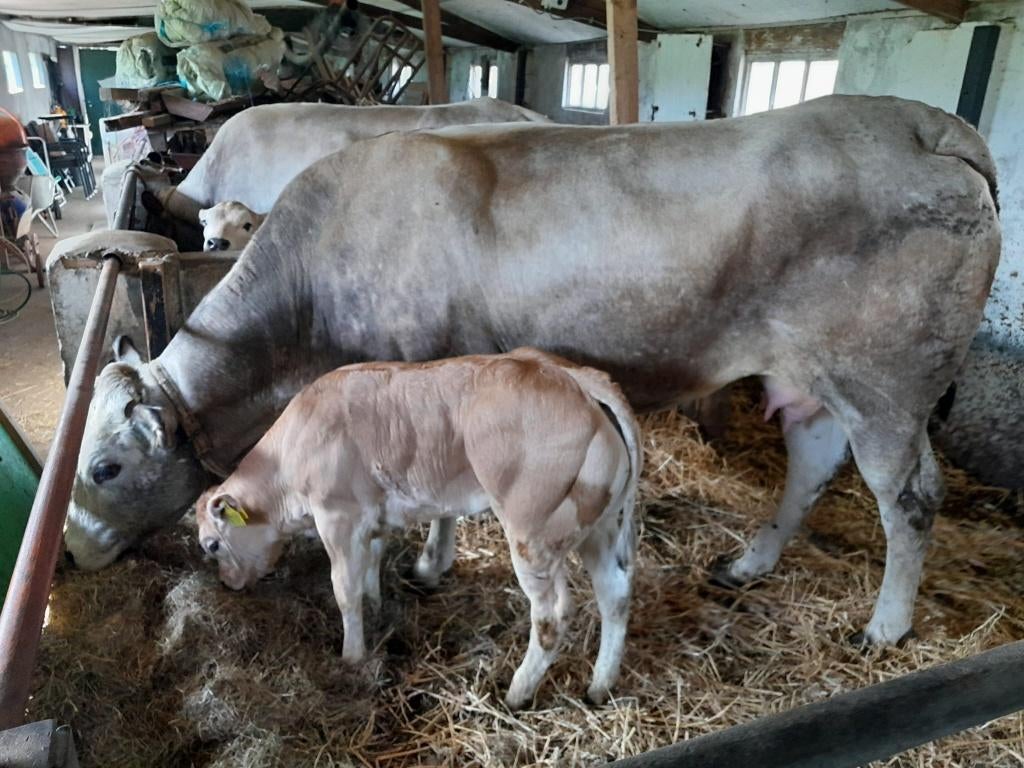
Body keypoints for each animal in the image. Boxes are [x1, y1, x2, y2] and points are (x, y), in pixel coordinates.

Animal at [195, 348, 641, 709]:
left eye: (211, 545)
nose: (227, 583)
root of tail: (578, 379)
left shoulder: (336, 517)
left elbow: (344, 589)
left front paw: (352, 656)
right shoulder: (370, 517)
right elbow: (371, 563)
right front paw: (377, 608)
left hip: (534, 533)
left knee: (552, 614)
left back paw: (518, 692)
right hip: (600, 526)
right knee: (614, 594)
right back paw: (599, 686)